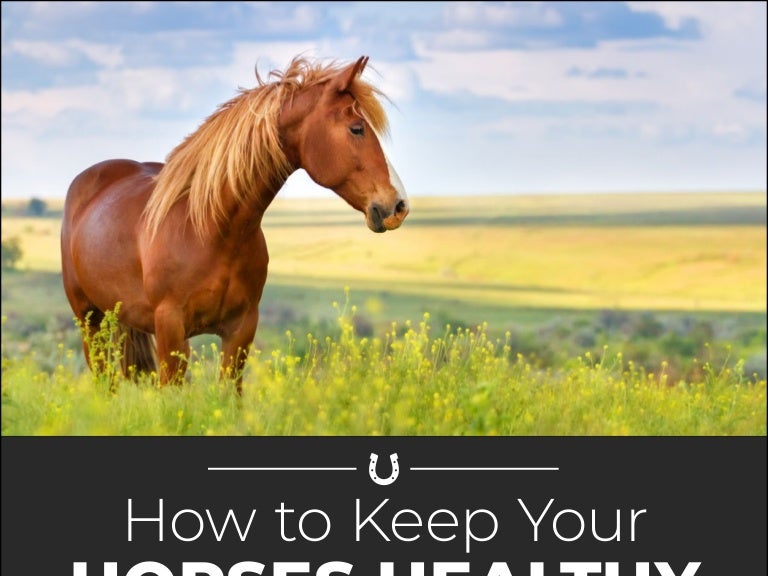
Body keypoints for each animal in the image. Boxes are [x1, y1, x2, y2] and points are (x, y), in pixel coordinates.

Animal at [60, 55, 409, 392]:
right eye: (356, 128)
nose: (398, 205)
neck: (211, 230)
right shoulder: (170, 330)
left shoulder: (241, 330)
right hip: (89, 321)